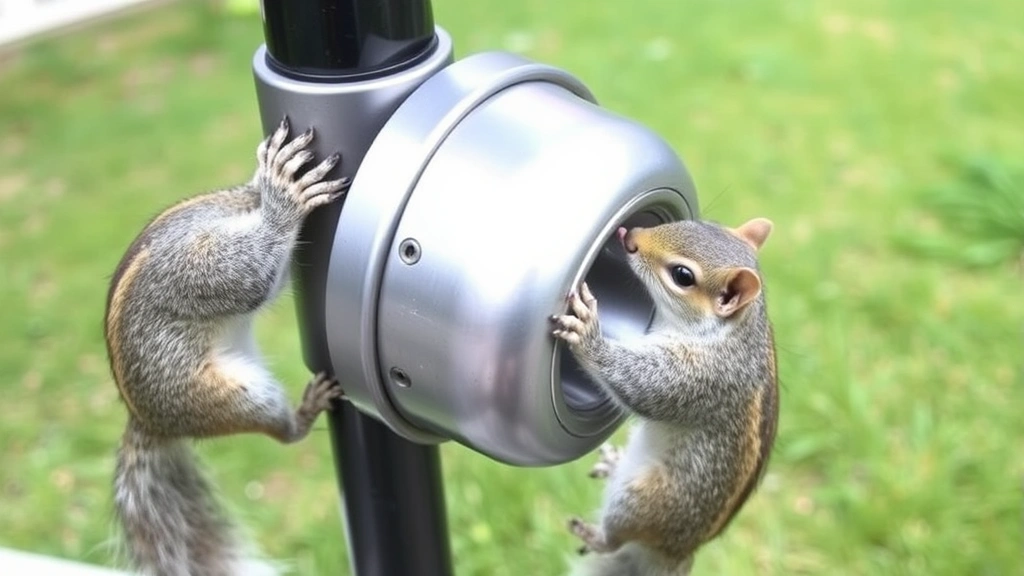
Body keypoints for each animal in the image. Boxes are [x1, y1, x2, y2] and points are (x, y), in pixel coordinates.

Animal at [103, 118, 349, 576]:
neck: (245, 205)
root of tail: (151, 421)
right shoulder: (194, 266)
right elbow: (248, 276)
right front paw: (285, 193)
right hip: (232, 395)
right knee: (282, 431)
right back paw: (305, 411)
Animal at [551, 217, 779, 576]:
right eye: (703, 222)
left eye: (682, 275)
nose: (629, 235)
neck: (732, 331)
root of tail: (676, 552)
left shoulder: (701, 376)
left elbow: (641, 385)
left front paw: (588, 336)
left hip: (641, 501)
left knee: (614, 540)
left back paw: (593, 533)